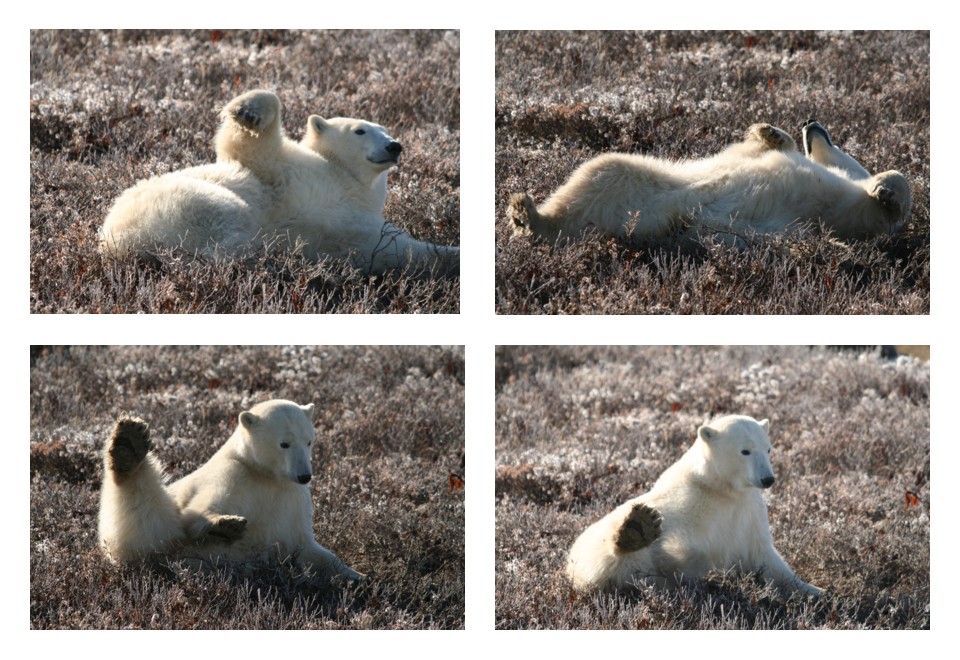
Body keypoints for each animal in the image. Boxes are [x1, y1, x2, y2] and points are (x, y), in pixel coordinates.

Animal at [97, 398, 362, 584]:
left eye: (309, 441)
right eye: (284, 443)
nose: (304, 475)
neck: (268, 476)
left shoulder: (293, 501)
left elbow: (309, 548)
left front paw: (357, 576)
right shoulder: (235, 475)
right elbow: (197, 510)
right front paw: (224, 525)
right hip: (157, 538)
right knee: (144, 512)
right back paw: (128, 446)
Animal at [99, 89, 460, 274]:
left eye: (386, 130)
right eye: (361, 130)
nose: (394, 146)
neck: (347, 180)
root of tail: (117, 243)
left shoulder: (362, 229)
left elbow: (404, 250)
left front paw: (451, 255)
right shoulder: (283, 170)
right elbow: (248, 148)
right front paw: (247, 110)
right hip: (178, 203)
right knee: (230, 212)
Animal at [506, 120, 912, 246]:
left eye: (836, 140)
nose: (812, 123)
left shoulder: (833, 212)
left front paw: (886, 188)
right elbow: (757, 150)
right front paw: (770, 131)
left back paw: (527, 217)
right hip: (636, 177)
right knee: (597, 171)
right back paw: (524, 211)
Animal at [568, 416, 820, 596]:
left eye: (768, 449)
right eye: (745, 451)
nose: (768, 479)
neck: (721, 489)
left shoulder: (748, 511)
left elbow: (765, 556)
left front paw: (816, 591)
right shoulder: (689, 504)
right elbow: (677, 542)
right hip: (590, 546)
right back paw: (635, 530)